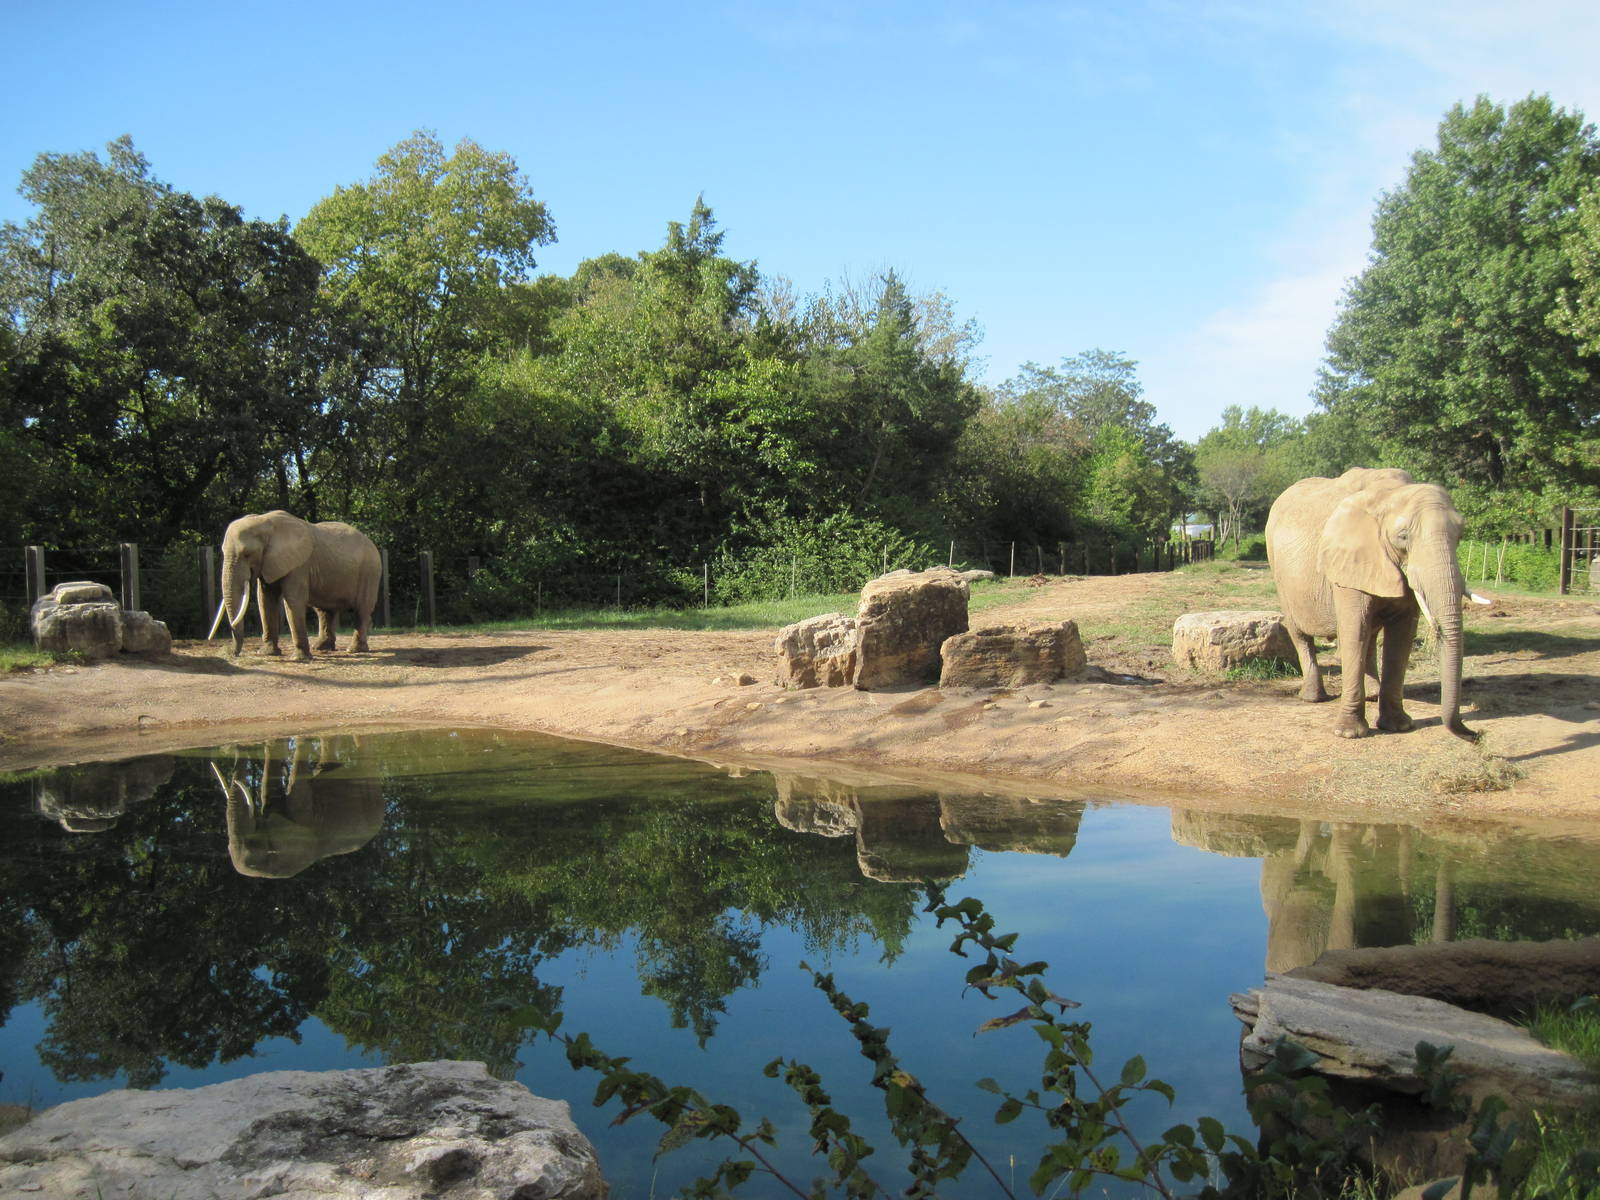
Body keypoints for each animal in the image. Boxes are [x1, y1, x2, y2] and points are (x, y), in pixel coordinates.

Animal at [207, 510, 381, 661]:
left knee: (362, 609)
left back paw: (355, 650)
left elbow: (293, 600)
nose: (229, 653)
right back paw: (321, 648)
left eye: (247, 554)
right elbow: (265, 599)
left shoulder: (298, 565)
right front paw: (267, 653)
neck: (264, 522)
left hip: (370, 572)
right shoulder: (269, 562)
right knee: (324, 611)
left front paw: (299, 659)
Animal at [1265, 467, 1484, 740]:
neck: (1389, 494)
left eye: (1460, 536)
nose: (1476, 735)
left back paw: (1371, 695)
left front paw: (1399, 727)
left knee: (1369, 634)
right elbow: (1353, 630)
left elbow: (1401, 636)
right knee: (1301, 633)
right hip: (1279, 572)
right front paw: (1349, 734)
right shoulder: (1347, 562)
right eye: (1403, 537)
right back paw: (1313, 698)